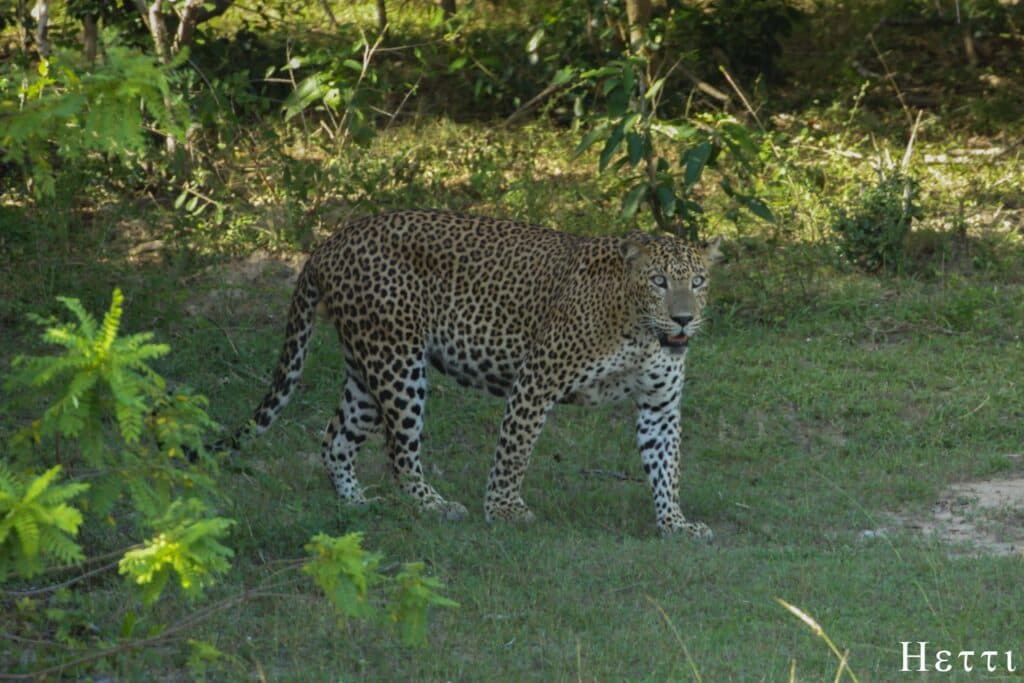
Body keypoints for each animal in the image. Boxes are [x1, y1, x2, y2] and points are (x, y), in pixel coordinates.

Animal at [219, 209, 722, 537]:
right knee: (399, 452)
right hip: (398, 361)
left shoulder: (659, 406)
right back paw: (434, 507)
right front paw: (504, 511)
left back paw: (358, 507)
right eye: (659, 282)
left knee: (335, 440)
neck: (640, 329)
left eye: (697, 282)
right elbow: (514, 452)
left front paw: (675, 523)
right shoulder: (536, 381)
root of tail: (331, 242)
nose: (683, 319)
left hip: (366, 368)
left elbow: (666, 465)